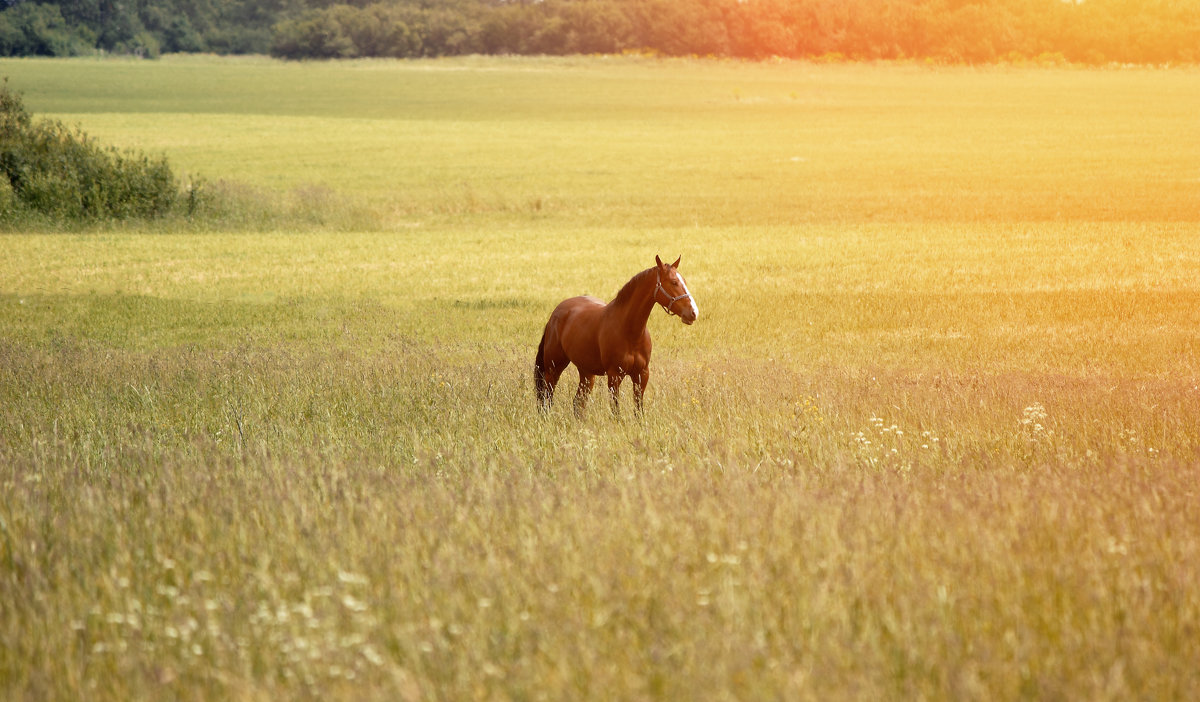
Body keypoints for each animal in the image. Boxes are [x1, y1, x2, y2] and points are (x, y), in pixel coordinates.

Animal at [532, 253, 696, 412]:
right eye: (673, 282)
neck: (630, 332)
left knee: (578, 403)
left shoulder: (642, 375)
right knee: (547, 399)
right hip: (554, 368)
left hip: (586, 373)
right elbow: (616, 411)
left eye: (684, 281)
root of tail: (556, 313)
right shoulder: (614, 376)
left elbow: (639, 410)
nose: (693, 312)